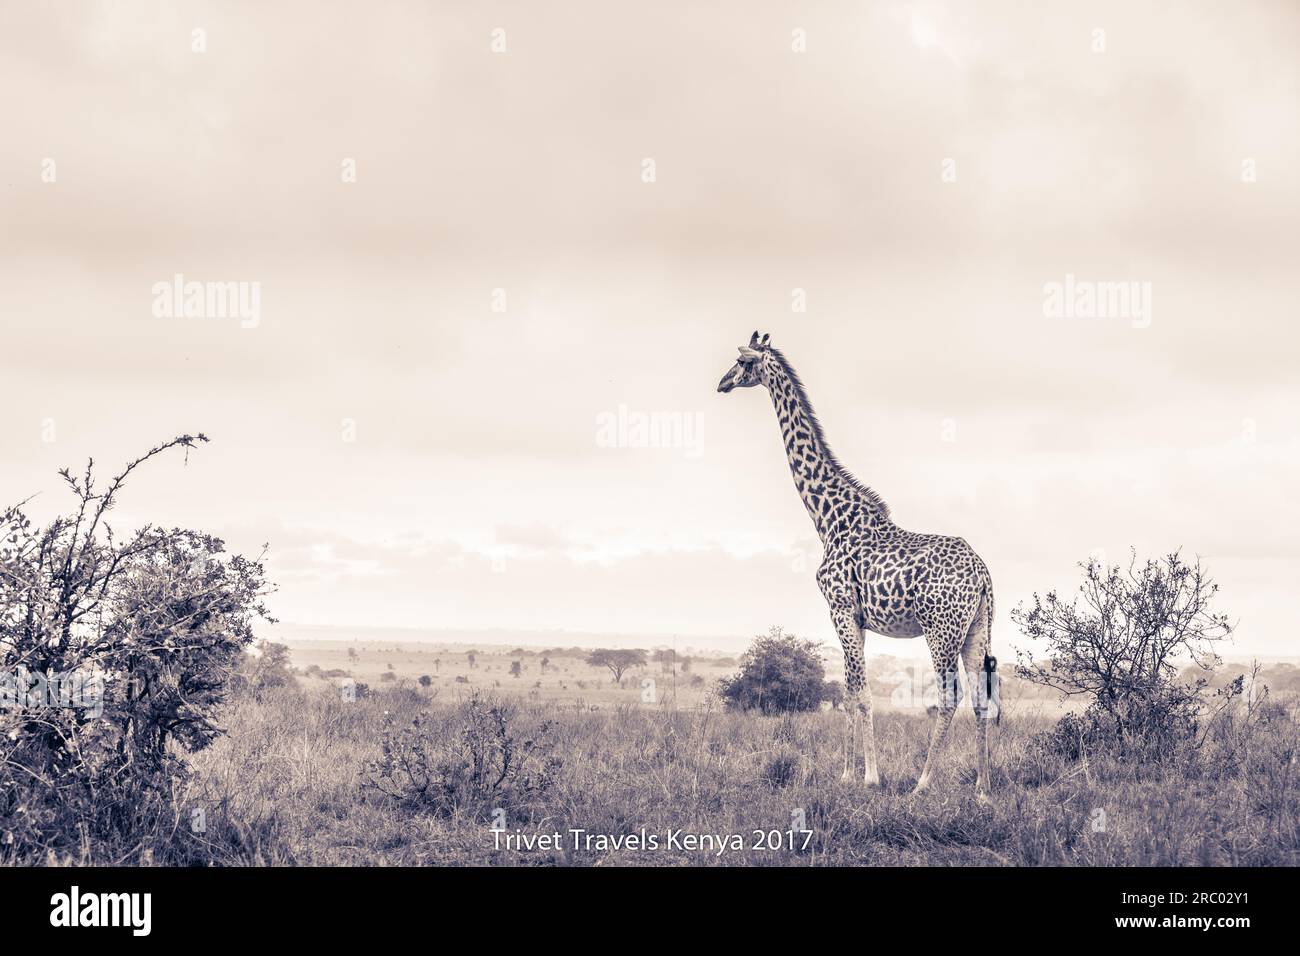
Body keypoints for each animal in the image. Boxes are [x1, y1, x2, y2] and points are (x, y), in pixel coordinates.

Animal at [717, 332, 997, 795]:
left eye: (741, 362)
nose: (721, 383)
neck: (829, 519)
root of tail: (983, 575)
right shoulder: (858, 618)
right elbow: (849, 694)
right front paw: (848, 773)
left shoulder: (840, 607)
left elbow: (862, 695)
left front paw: (869, 777)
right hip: (977, 628)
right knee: (980, 697)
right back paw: (982, 788)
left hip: (941, 630)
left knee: (949, 696)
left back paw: (922, 784)